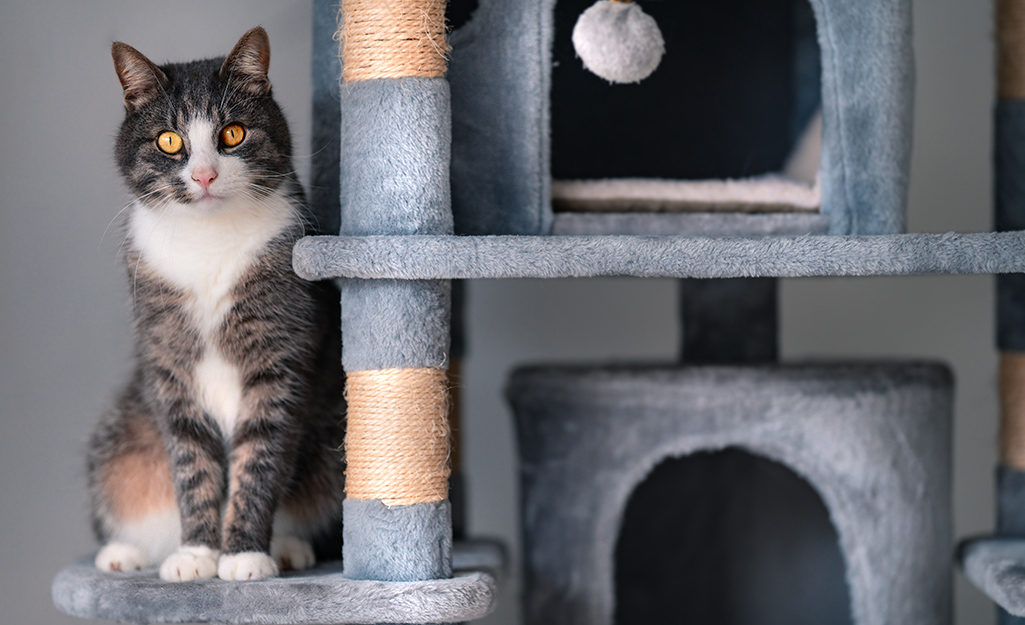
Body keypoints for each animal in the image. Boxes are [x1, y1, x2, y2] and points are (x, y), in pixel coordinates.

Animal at [89, 26, 344, 581]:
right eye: (169, 140)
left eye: (232, 134)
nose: (205, 175)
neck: (207, 241)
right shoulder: (169, 367)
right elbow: (190, 464)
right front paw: (197, 554)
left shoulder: (280, 362)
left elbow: (260, 459)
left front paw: (244, 554)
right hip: (121, 435)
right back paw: (126, 553)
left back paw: (288, 547)